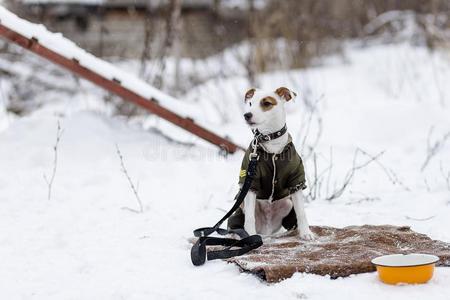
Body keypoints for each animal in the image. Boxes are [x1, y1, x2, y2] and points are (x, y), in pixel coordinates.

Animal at [227, 85, 314, 240]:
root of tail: (266, 230)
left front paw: (306, 233)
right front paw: (250, 236)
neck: (271, 140)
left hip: (287, 203)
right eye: (250, 103)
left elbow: (301, 212)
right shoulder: (250, 183)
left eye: (266, 103)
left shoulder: (296, 182)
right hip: (241, 207)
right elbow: (249, 218)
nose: (247, 115)